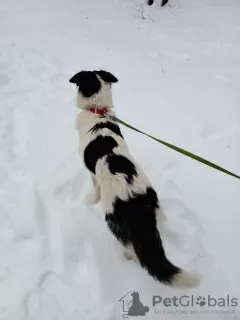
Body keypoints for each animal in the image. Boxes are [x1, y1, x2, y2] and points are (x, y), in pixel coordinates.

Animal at [69, 70, 199, 288]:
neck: (98, 112)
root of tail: (133, 196)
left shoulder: (92, 173)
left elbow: (94, 189)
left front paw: (91, 200)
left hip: (115, 224)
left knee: (130, 249)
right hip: (156, 211)